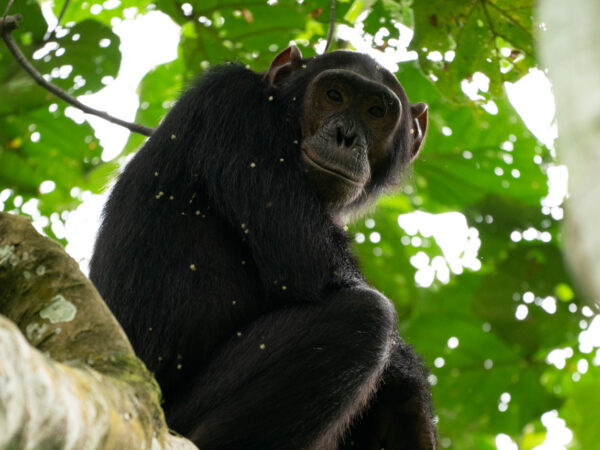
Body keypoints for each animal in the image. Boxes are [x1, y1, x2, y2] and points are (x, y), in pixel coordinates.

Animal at [89, 46, 436, 450]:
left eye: (376, 111)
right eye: (334, 95)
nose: (346, 135)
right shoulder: (235, 108)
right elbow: (314, 267)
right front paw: (409, 387)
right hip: (172, 418)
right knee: (365, 314)